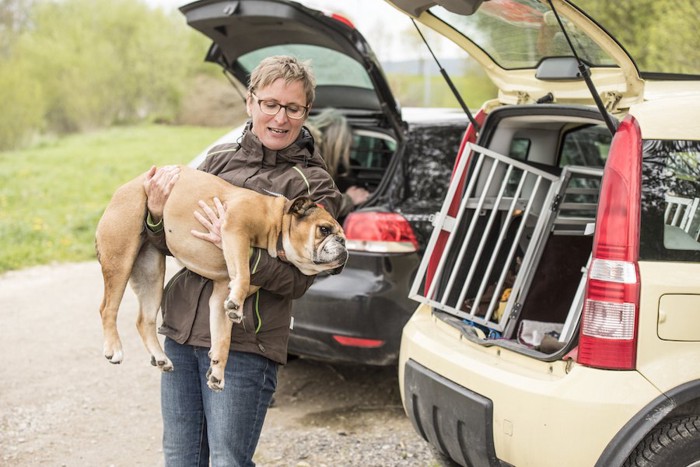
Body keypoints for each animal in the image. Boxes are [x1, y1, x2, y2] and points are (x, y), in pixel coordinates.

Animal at [95, 165, 348, 392]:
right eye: (324, 229)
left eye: (342, 236)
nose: (344, 245)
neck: (277, 226)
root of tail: (123, 188)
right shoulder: (236, 230)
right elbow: (244, 273)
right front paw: (237, 303)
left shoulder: (219, 298)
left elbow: (222, 338)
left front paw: (217, 371)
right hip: (121, 258)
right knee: (107, 308)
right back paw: (114, 349)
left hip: (151, 274)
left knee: (144, 320)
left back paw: (160, 358)